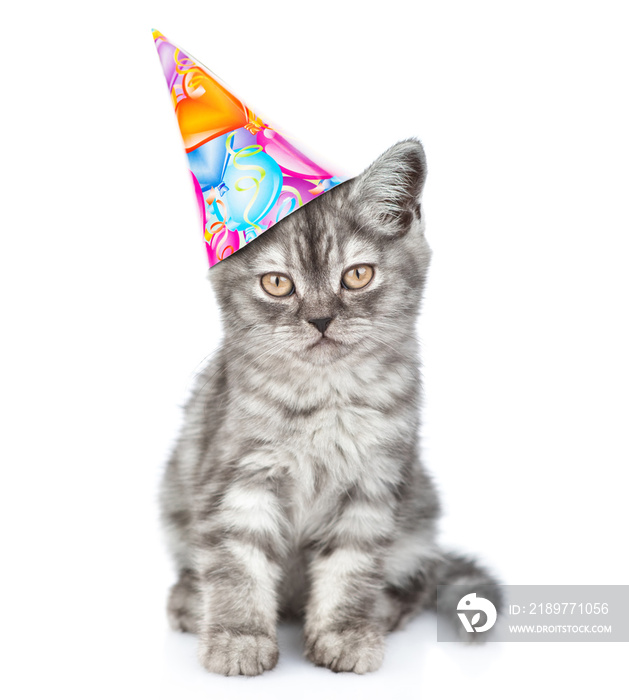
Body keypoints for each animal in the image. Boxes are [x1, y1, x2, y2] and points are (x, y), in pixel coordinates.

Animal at [161, 139, 500, 676]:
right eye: (278, 284)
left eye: (357, 275)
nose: (320, 319)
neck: (326, 399)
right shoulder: (241, 477)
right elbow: (237, 562)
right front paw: (238, 637)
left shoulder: (372, 484)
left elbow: (352, 565)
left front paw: (345, 634)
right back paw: (193, 602)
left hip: (420, 509)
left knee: (422, 577)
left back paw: (384, 609)